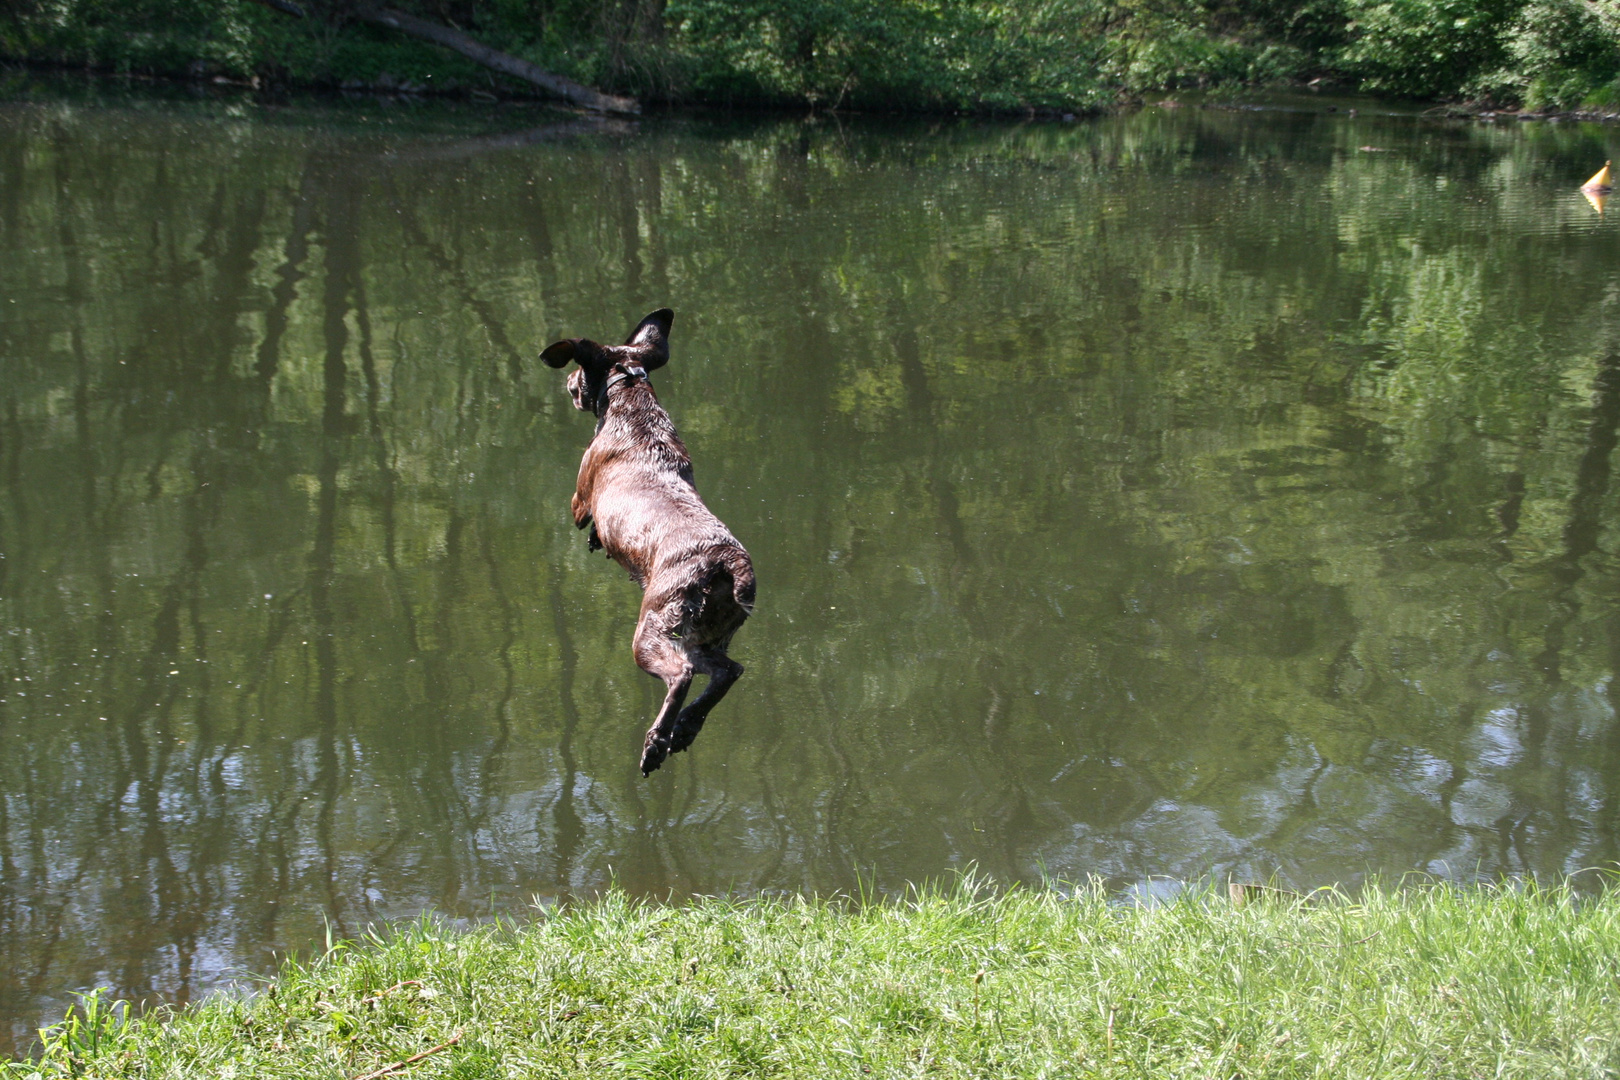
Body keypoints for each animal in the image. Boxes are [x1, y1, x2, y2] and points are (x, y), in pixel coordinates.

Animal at [537, 307, 751, 773]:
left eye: (577, 371)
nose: (568, 382)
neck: (631, 399)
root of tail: (727, 562)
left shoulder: (580, 498)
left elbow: (583, 515)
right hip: (699, 636)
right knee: (727, 671)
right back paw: (685, 728)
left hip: (654, 630)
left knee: (682, 676)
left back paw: (657, 742)